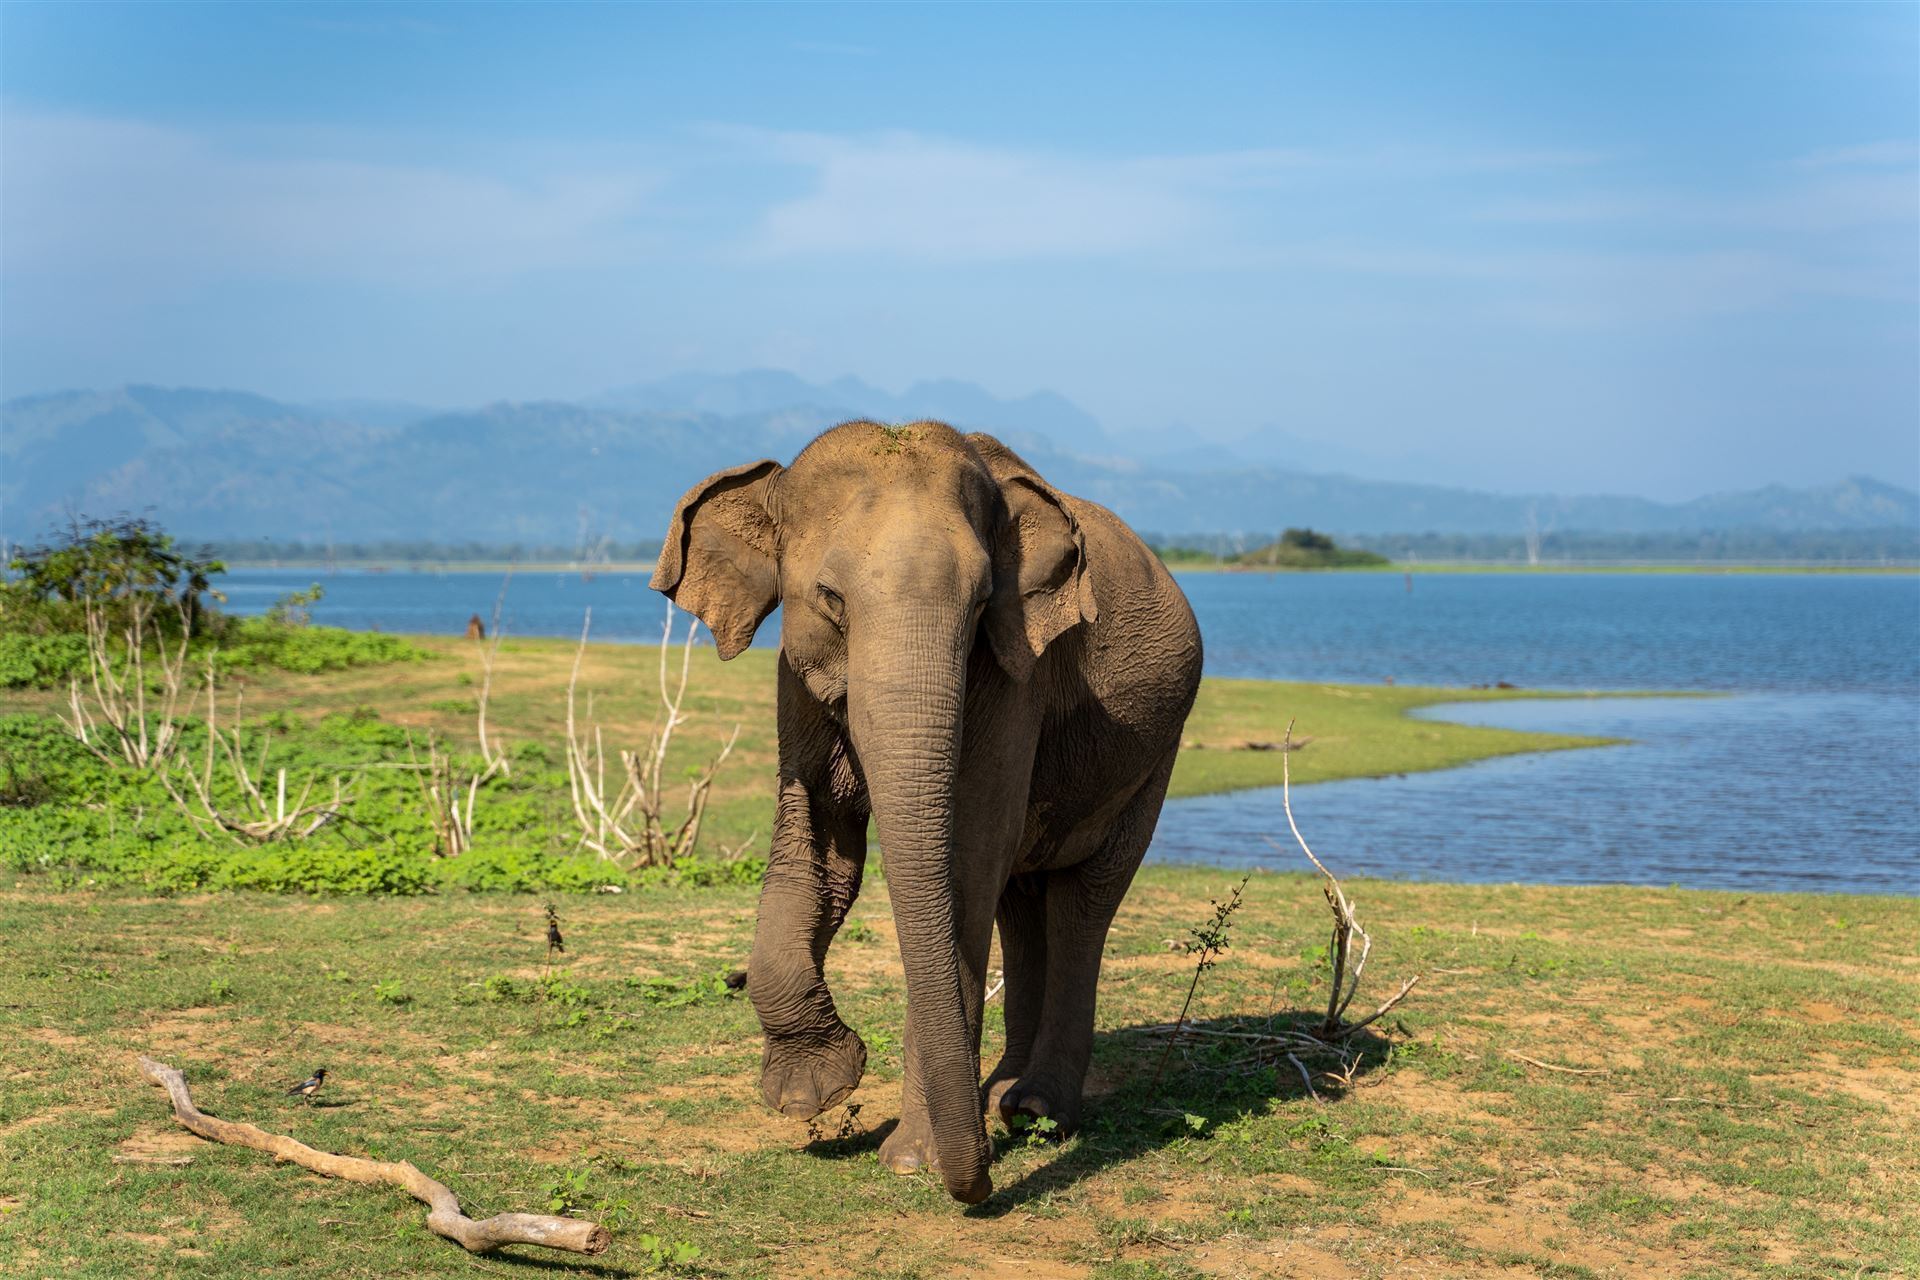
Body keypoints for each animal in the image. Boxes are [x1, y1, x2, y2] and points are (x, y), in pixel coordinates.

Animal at [650, 420, 1202, 1204]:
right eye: (829, 596)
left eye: (981, 602)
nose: (978, 1190)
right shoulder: (796, 680)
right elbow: (818, 853)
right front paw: (811, 1093)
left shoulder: (1015, 671)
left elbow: (965, 863)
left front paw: (914, 1161)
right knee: (1022, 899)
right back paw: (1002, 1102)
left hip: (1155, 756)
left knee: (1082, 899)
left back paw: (1038, 1110)